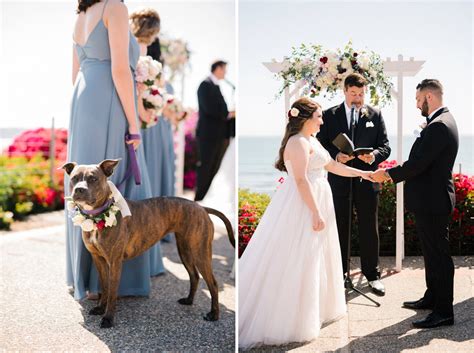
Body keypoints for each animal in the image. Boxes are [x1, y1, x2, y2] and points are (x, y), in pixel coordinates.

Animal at [62, 159, 234, 328]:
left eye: (93, 179)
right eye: (74, 178)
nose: (79, 189)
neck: (97, 216)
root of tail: (201, 207)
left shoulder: (115, 262)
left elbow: (112, 292)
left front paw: (108, 318)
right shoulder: (98, 259)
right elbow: (104, 287)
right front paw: (100, 308)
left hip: (200, 252)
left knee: (212, 283)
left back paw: (214, 314)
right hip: (185, 250)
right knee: (194, 276)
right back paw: (189, 300)